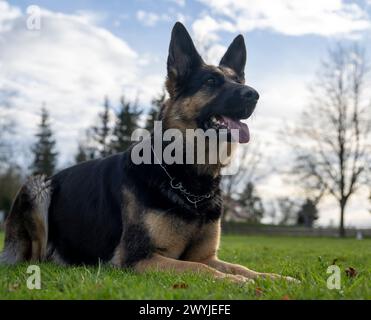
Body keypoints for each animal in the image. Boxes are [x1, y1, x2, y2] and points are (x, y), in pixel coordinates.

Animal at [0, 22, 296, 282]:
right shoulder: (139, 258)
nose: (254, 94)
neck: (189, 180)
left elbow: (239, 266)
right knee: (36, 257)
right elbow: (201, 270)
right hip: (37, 186)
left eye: (239, 80)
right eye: (211, 81)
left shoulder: (206, 255)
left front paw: (274, 278)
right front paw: (238, 282)